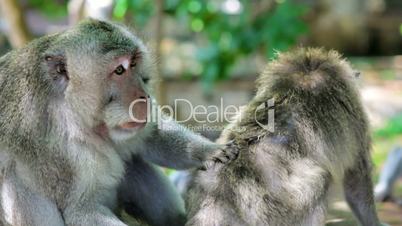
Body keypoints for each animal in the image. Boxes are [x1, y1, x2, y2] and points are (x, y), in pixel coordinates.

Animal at [0, 19, 239, 226]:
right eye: (119, 70)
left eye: (133, 64)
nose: (144, 97)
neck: (76, 115)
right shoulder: (62, 155)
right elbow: (81, 211)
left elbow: (153, 135)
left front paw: (208, 151)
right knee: (14, 179)